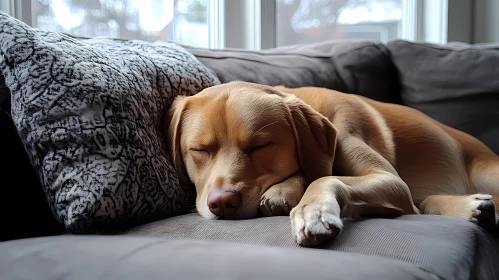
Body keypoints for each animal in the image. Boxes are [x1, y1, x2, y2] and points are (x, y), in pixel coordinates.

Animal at [165, 81, 499, 247]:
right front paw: (287, 191)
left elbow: (323, 177)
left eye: (260, 146)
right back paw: (474, 208)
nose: (222, 203)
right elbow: (314, 173)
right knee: (427, 202)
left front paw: (312, 211)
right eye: (199, 150)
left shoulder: (391, 181)